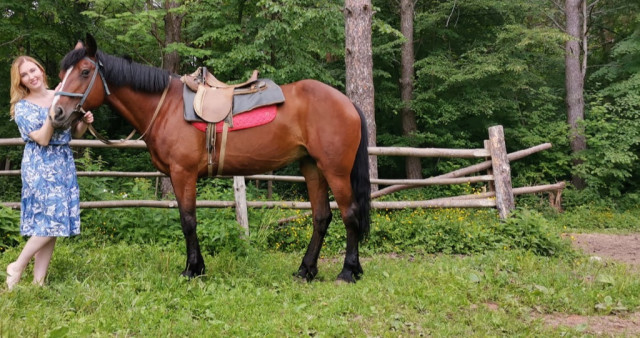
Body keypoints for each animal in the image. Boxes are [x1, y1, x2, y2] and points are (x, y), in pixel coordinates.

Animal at [52, 34, 372, 282]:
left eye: (84, 71)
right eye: (61, 73)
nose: (56, 112)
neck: (165, 107)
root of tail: (346, 102)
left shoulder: (183, 173)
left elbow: (188, 220)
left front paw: (192, 270)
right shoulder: (177, 175)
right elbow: (187, 219)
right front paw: (195, 267)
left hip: (335, 171)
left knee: (349, 214)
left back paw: (347, 272)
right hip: (312, 167)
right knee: (321, 217)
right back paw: (306, 271)